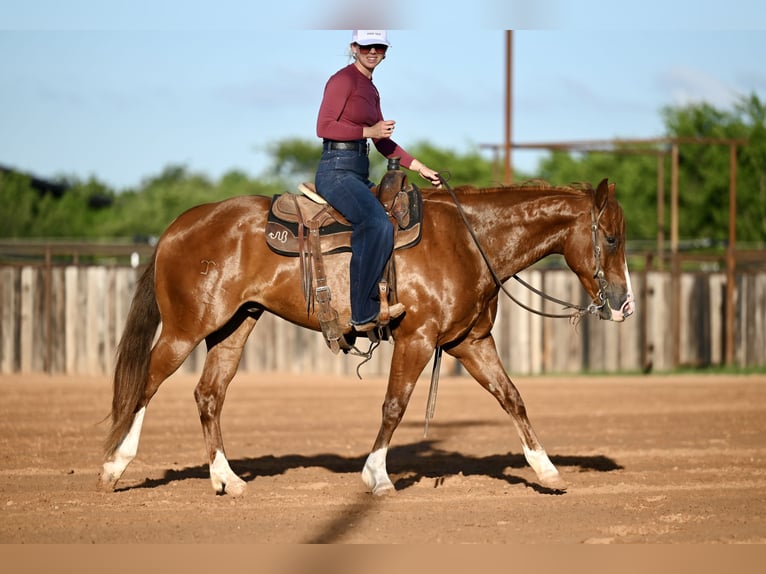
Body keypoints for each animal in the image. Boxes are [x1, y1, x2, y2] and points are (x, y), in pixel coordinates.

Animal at [99, 177, 635, 496]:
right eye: (610, 238)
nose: (625, 304)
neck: (468, 240)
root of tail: (177, 228)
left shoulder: (471, 342)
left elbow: (513, 398)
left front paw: (547, 471)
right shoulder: (418, 338)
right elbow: (394, 406)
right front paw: (376, 475)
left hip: (234, 326)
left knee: (208, 395)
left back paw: (226, 479)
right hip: (186, 329)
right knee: (145, 384)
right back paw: (113, 467)